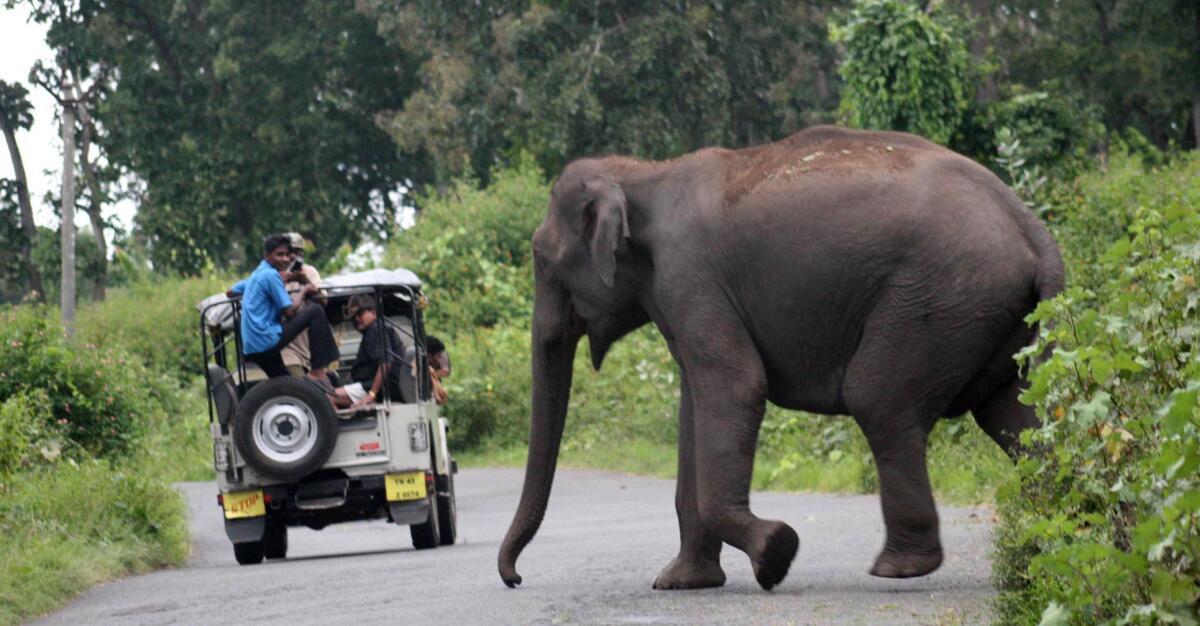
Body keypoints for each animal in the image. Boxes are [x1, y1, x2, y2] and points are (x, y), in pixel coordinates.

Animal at [499, 124, 1070, 587]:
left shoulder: (689, 276)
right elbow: (695, 410)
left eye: (541, 261)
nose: (516, 578)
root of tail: (1033, 228)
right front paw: (682, 583)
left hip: (939, 298)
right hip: (992, 312)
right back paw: (1060, 530)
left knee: (880, 400)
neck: (642, 173)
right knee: (1012, 414)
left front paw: (776, 554)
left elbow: (735, 389)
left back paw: (900, 568)